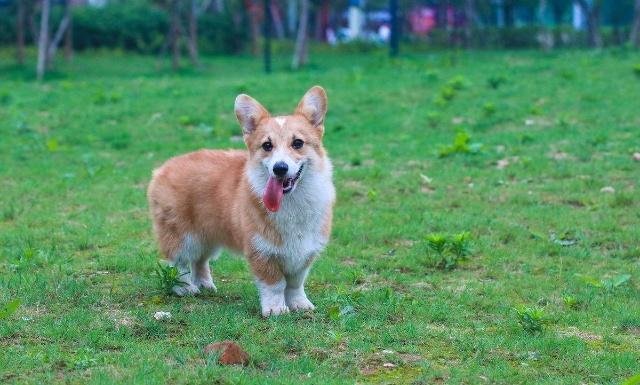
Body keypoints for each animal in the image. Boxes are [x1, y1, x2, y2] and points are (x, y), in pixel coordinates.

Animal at [146, 86, 336, 316]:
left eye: (298, 143)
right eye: (267, 145)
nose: (279, 168)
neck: (293, 202)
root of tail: (162, 168)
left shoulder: (305, 252)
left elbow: (295, 283)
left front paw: (300, 304)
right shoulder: (262, 250)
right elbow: (275, 284)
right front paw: (276, 310)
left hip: (209, 234)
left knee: (200, 260)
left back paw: (205, 285)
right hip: (182, 235)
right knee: (178, 261)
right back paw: (184, 288)